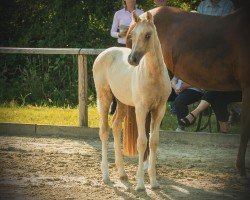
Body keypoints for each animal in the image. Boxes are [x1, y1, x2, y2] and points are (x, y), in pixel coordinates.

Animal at [93, 11, 171, 190]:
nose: (132, 60)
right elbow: (142, 142)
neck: (153, 75)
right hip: (104, 97)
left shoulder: (159, 109)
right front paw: (140, 184)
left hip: (121, 102)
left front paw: (154, 182)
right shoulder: (141, 109)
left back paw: (122, 173)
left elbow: (153, 141)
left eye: (148, 35)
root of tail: (103, 54)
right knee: (104, 130)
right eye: (133, 34)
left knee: (115, 126)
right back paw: (106, 175)